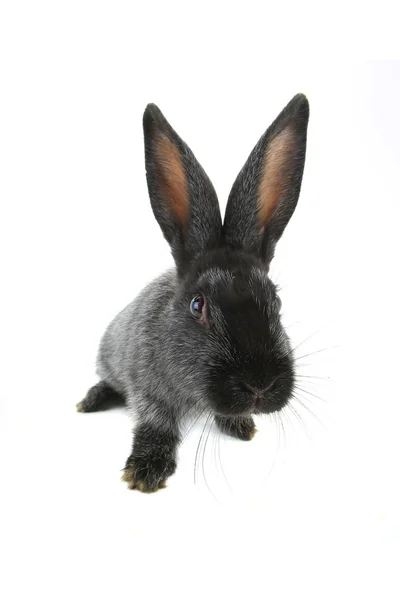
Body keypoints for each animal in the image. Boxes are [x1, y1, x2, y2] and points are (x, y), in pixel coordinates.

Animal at [76, 94, 310, 494]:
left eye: (276, 302)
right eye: (197, 305)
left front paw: (240, 425)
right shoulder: (147, 388)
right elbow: (156, 423)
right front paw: (146, 470)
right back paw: (92, 400)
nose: (260, 386)